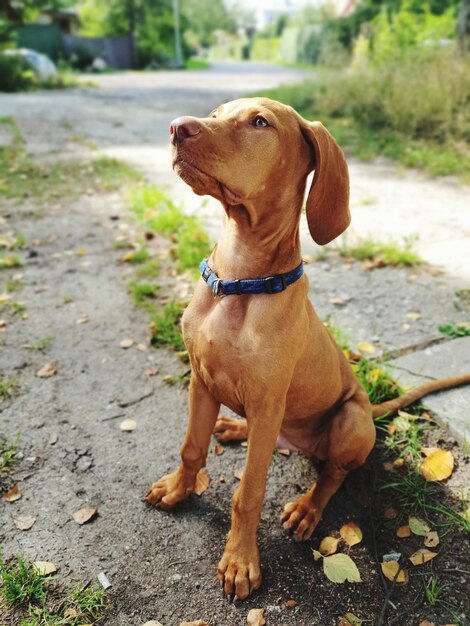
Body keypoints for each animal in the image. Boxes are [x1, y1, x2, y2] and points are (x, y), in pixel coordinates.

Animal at [145, 97, 468, 600]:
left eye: (260, 122)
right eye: (216, 113)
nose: (178, 128)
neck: (238, 283)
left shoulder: (267, 399)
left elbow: (248, 493)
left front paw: (240, 560)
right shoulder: (201, 378)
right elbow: (190, 448)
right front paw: (178, 490)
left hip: (350, 421)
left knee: (332, 475)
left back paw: (307, 508)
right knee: (271, 441)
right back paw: (234, 428)